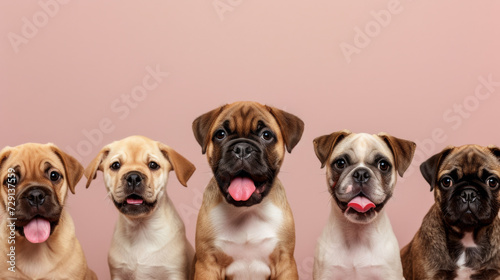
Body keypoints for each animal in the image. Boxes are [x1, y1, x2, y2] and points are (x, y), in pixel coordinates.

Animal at [85, 135, 196, 278]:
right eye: (115, 165)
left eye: (153, 165)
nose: (133, 177)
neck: (140, 228)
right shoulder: (118, 273)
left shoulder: (174, 273)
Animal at [189, 101, 302, 280]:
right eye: (220, 134)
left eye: (266, 135)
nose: (242, 148)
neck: (246, 211)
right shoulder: (207, 265)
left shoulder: (285, 263)